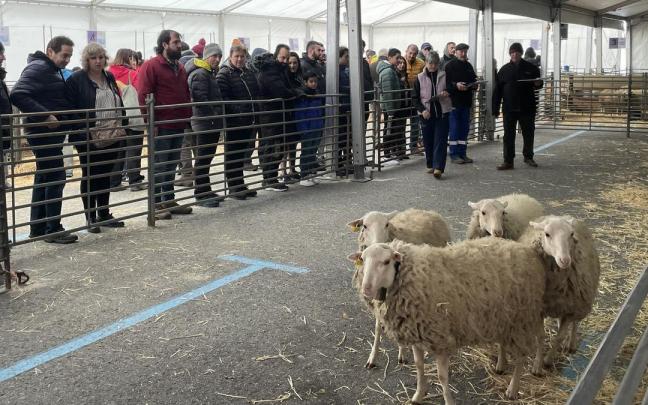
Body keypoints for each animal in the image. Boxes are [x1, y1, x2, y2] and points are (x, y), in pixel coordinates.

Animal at [346, 209, 451, 367]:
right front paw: (373, 357)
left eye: (387, 224)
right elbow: (377, 327)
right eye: (364, 226)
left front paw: (402, 352)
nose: (378, 243)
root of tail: (426, 211)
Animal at [348, 238, 546, 404]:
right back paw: (501, 366)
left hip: (522, 320)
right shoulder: (416, 335)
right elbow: (419, 367)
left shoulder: (440, 338)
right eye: (362, 260)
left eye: (386, 261)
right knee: (505, 343)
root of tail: (527, 249)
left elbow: (442, 376)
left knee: (522, 356)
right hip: (503, 318)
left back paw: (513, 388)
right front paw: (418, 395)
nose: (366, 289)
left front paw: (448, 400)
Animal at [518, 215, 601, 366]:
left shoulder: (570, 309)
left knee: (575, 323)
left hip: (580, 302)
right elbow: (540, 336)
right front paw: (537, 365)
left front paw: (547, 360)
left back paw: (571, 344)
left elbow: (559, 337)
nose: (565, 260)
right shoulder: (539, 309)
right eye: (547, 234)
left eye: (571, 234)